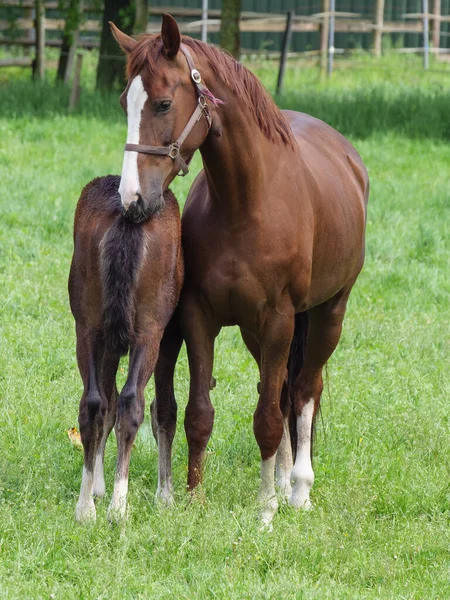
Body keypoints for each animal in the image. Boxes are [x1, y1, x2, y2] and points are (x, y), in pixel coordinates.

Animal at [69, 176, 182, 524]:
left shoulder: (103, 335)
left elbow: (105, 402)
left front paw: (96, 488)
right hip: (150, 330)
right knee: (130, 401)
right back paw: (118, 507)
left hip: (89, 326)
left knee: (94, 402)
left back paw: (86, 508)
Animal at [110, 15, 368, 524]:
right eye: (125, 103)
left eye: (164, 102)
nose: (132, 200)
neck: (245, 204)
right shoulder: (201, 318)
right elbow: (200, 413)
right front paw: (194, 497)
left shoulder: (279, 320)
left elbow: (267, 417)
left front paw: (265, 510)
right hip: (257, 332)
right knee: (283, 389)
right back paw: (285, 480)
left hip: (327, 313)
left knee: (304, 390)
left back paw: (298, 490)